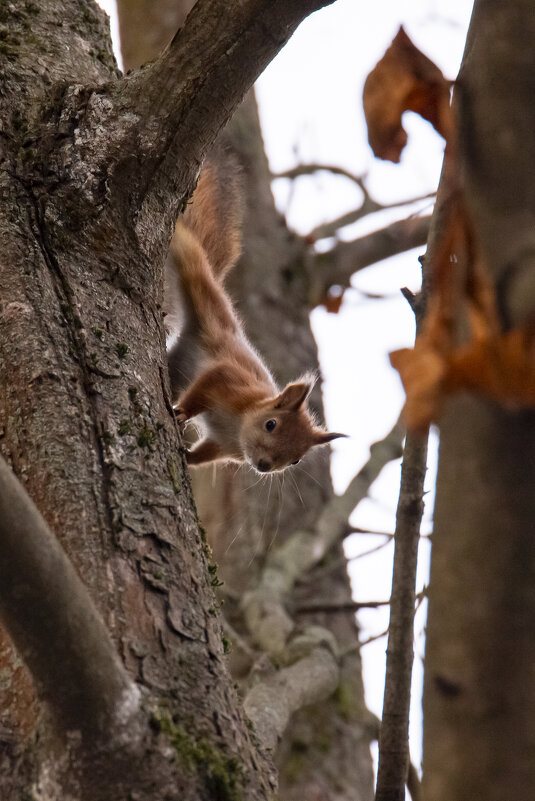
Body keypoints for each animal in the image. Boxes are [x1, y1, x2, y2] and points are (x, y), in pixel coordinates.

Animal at [165, 153, 346, 472]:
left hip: (178, 362)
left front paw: (187, 457)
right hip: (193, 270)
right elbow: (207, 385)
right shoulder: (228, 381)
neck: (237, 424)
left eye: (296, 460)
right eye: (271, 424)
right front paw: (183, 412)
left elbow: (204, 454)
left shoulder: (224, 446)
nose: (263, 465)